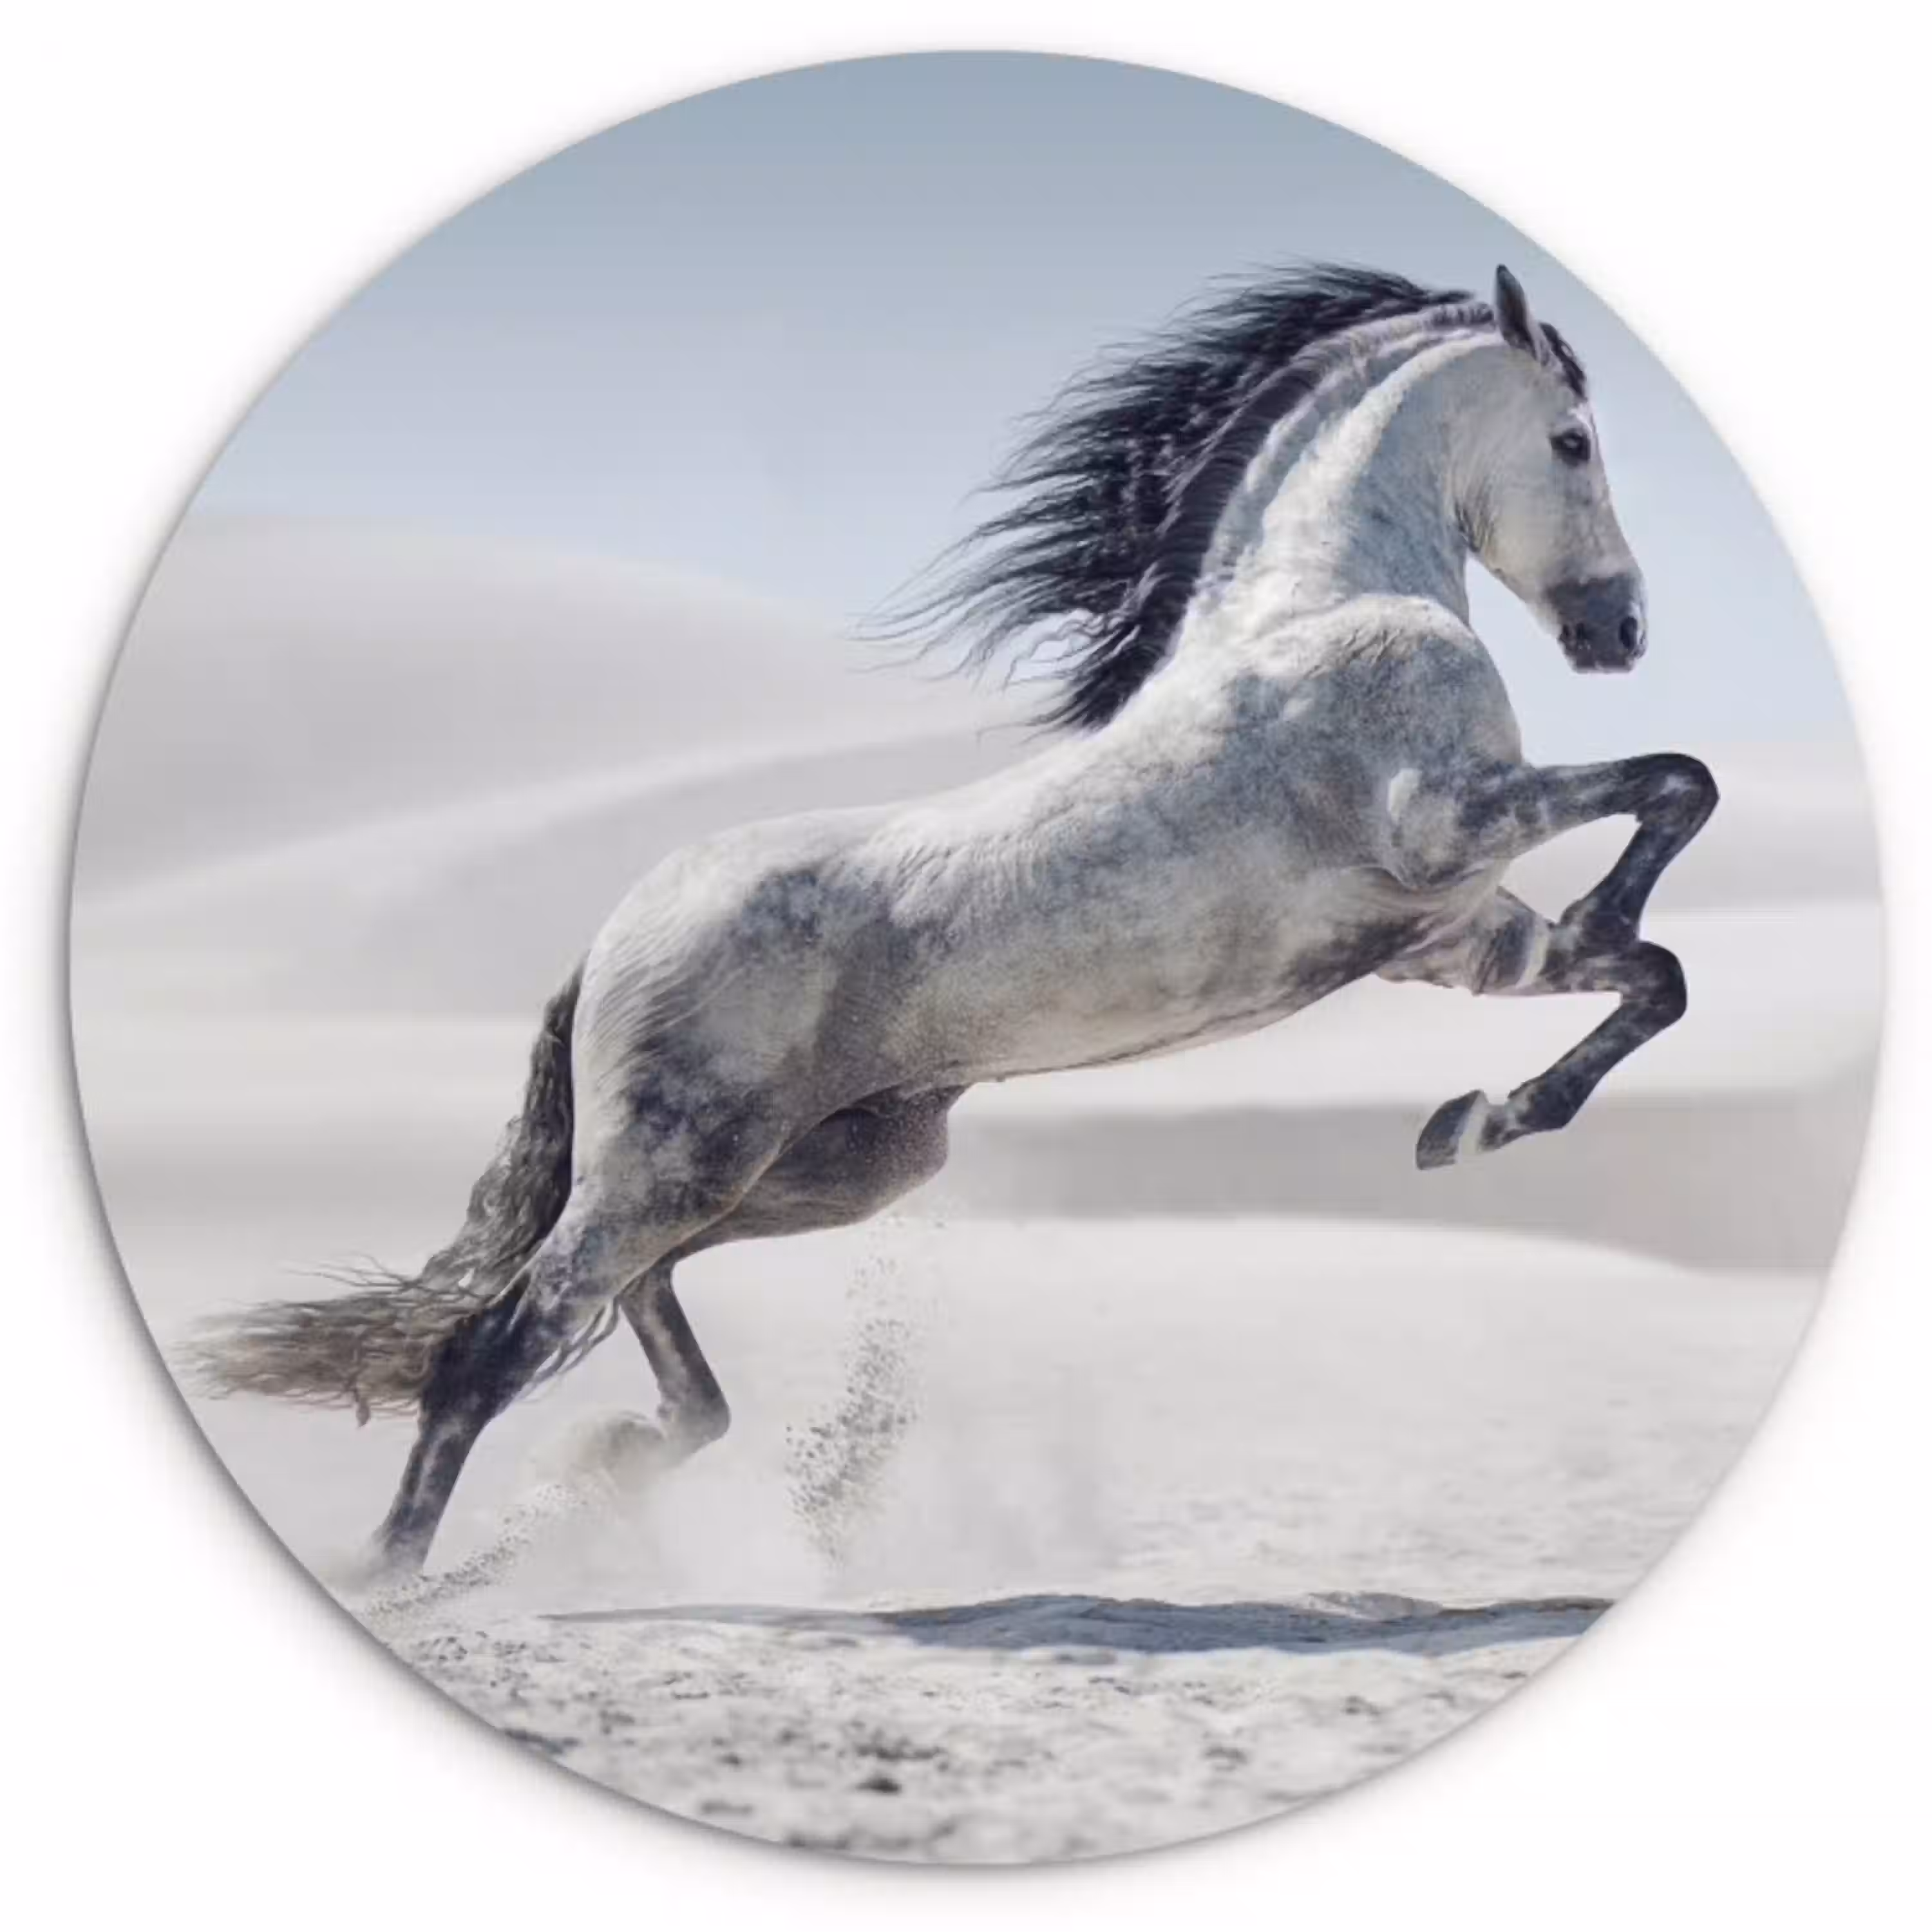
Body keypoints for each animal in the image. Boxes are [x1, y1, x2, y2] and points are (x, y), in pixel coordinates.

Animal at [188, 263, 1717, 1578]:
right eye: (1574, 439)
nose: (1624, 631)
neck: (1324, 607)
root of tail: (616, 932)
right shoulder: (1447, 823)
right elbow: (1676, 786)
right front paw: (1514, 1056)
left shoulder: (1454, 940)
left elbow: (1654, 974)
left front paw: (1473, 1122)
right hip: (680, 1163)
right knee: (498, 1341)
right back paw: (400, 1572)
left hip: (829, 1168)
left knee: (635, 1308)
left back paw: (615, 1463)